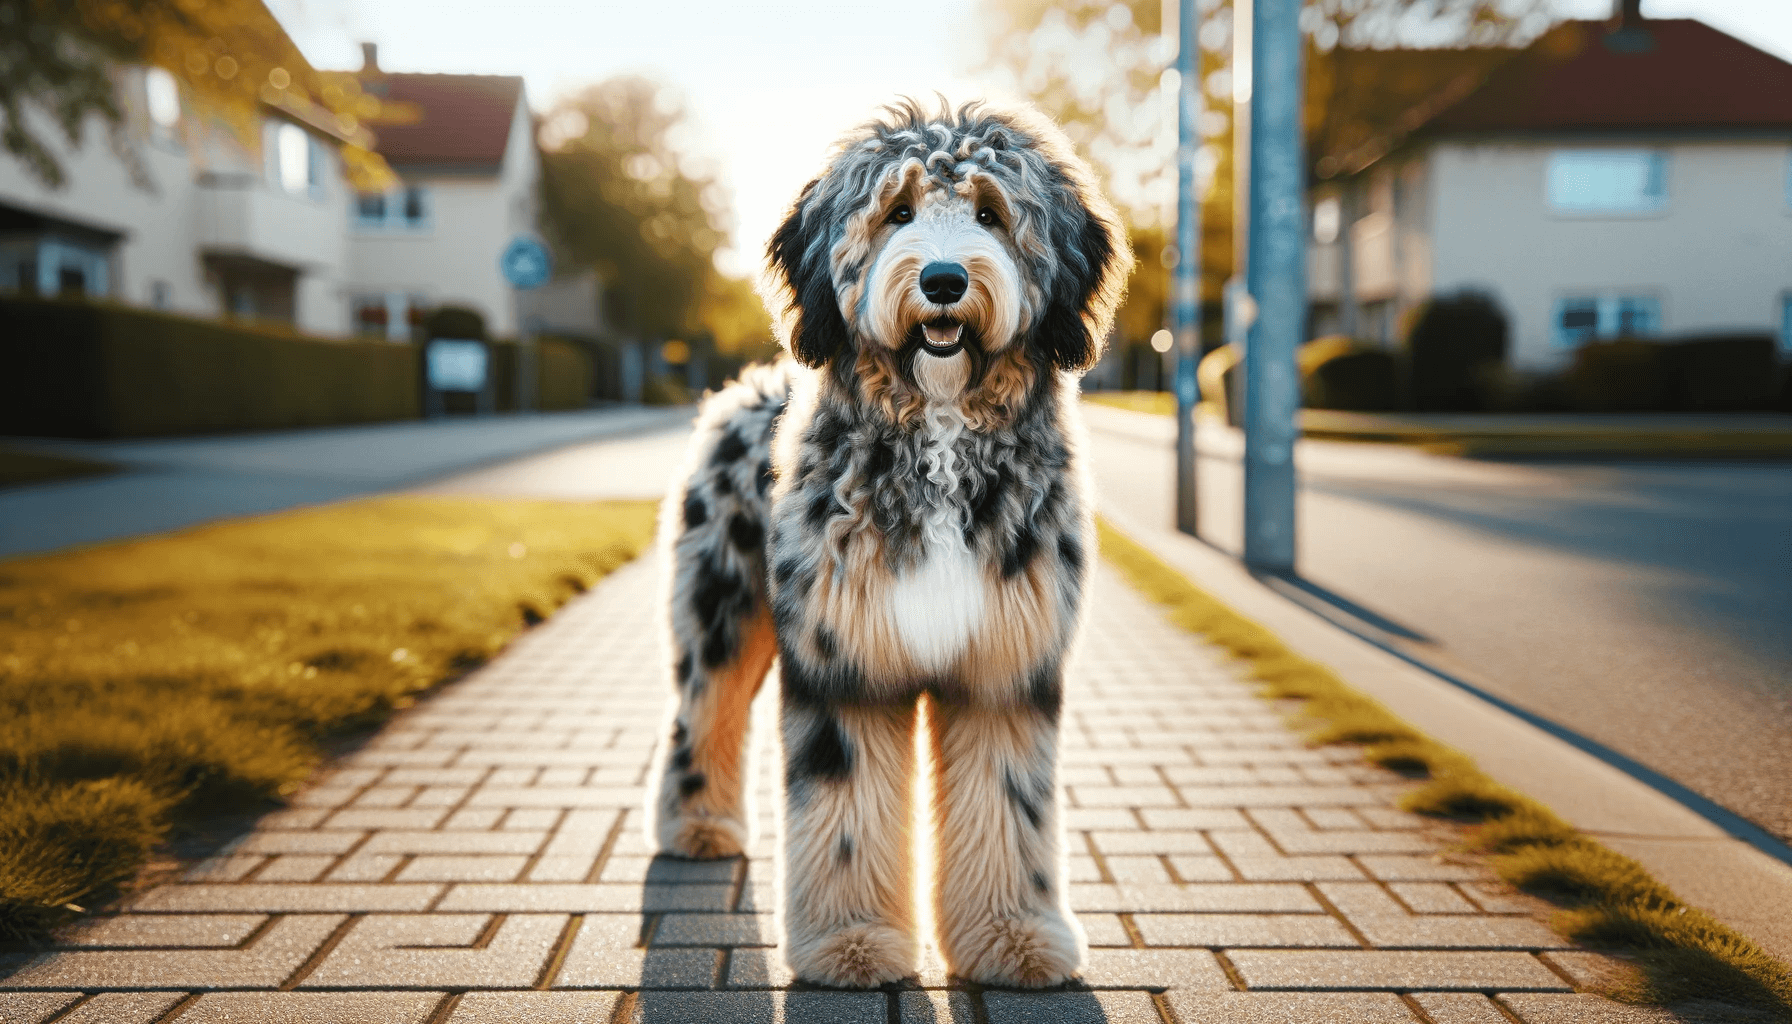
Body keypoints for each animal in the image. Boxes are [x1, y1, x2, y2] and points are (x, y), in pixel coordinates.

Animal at [645, 99, 1125, 989]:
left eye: (990, 213)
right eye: (897, 211)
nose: (942, 281)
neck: (938, 430)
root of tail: (746, 387)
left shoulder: (1005, 667)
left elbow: (1008, 807)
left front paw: (1014, 938)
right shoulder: (847, 663)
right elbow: (844, 815)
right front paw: (853, 944)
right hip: (720, 605)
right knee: (703, 710)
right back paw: (697, 827)